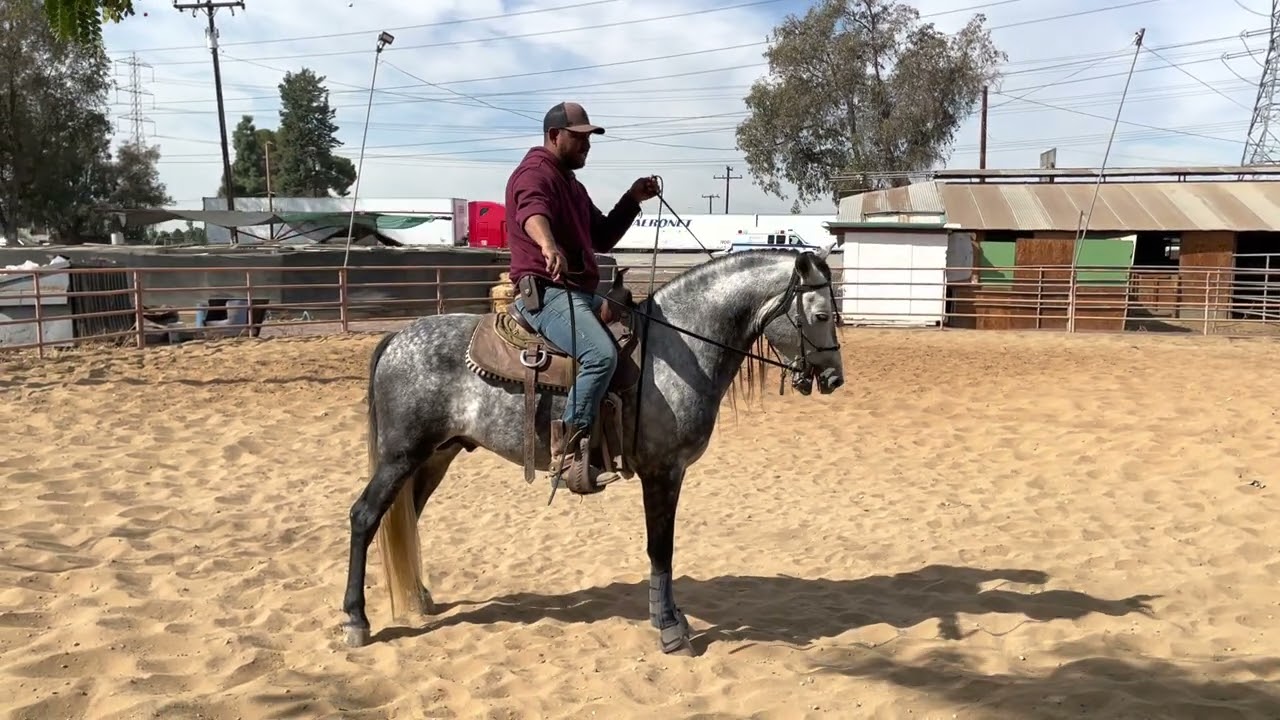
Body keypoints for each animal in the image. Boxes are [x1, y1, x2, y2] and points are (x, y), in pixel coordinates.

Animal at [341, 242, 847, 655]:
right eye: (822, 315)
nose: (834, 378)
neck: (678, 348)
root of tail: (397, 338)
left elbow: (664, 550)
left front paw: (672, 619)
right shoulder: (663, 471)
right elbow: (660, 549)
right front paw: (670, 628)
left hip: (435, 456)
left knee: (405, 516)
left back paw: (418, 596)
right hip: (401, 456)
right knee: (365, 516)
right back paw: (355, 620)